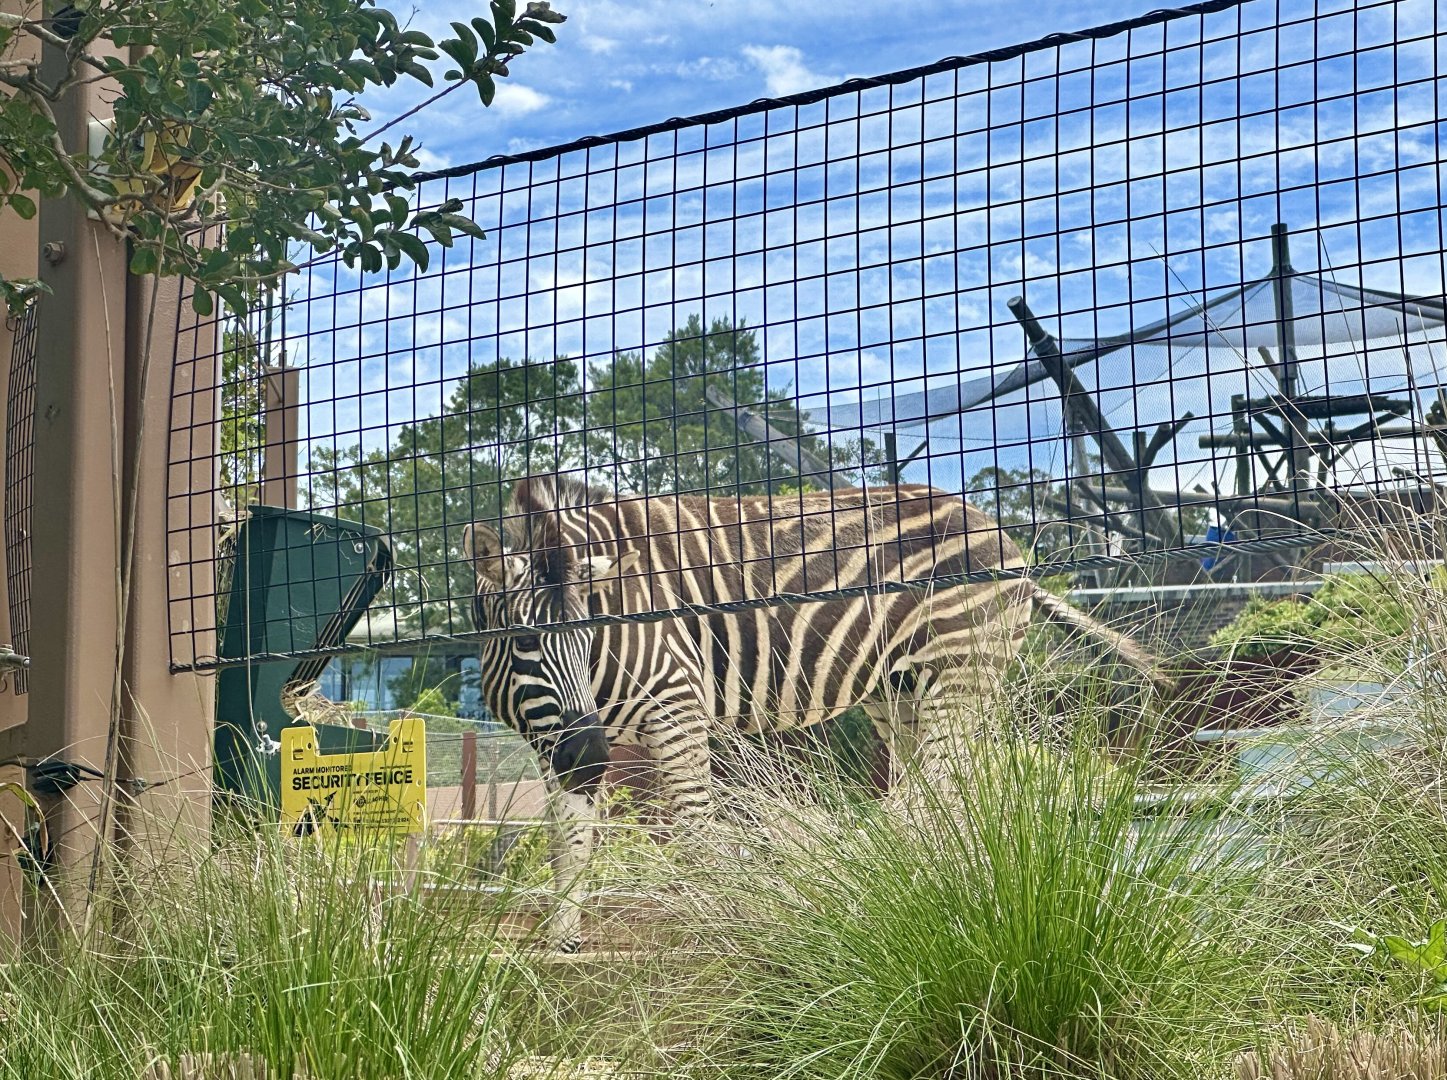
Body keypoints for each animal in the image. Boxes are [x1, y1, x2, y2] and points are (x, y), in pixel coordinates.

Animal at [461, 473, 1168, 950]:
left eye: (592, 636)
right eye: (523, 641)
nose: (590, 758)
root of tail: (1005, 536)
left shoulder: (675, 702)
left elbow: (695, 830)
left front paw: (716, 923)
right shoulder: (556, 740)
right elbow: (569, 842)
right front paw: (562, 940)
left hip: (959, 673)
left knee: (946, 794)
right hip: (902, 691)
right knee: (938, 796)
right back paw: (932, 900)